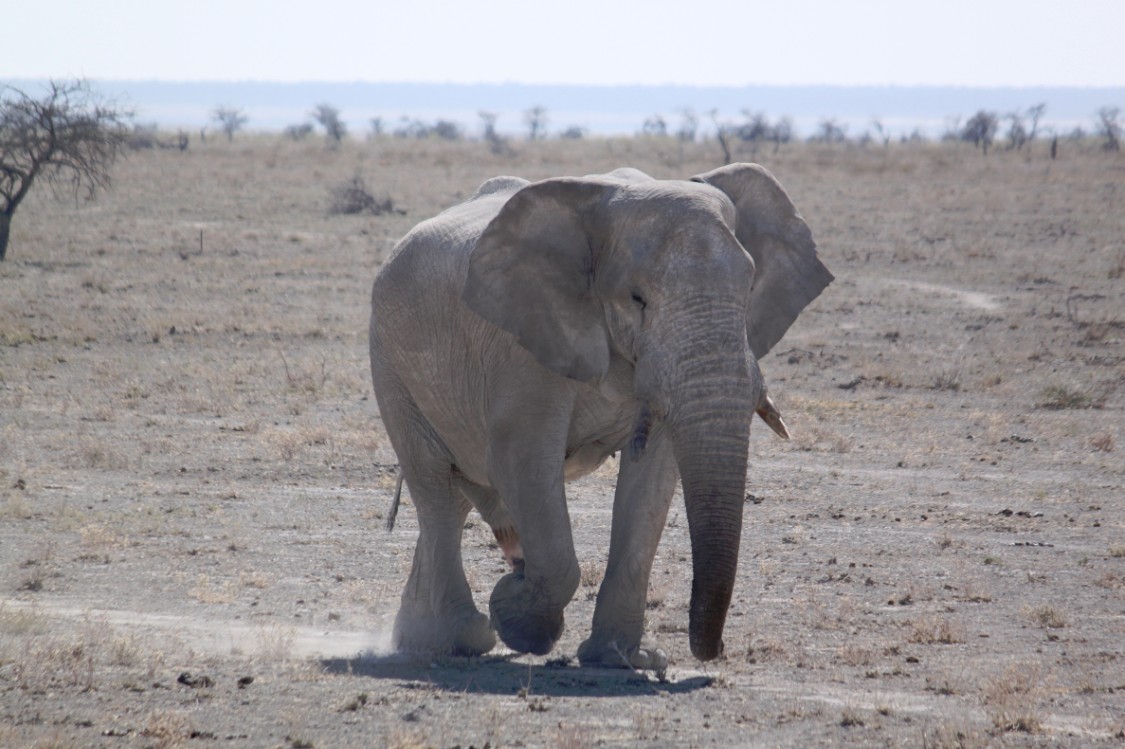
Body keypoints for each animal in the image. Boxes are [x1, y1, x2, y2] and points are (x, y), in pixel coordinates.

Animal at [364, 161, 832, 665]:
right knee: (433, 485)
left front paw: (621, 659)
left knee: (453, 495)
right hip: (389, 362)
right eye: (637, 298)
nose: (718, 648)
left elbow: (652, 479)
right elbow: (521, 462)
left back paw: (420, 637)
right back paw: (463, 637)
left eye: (748, 289)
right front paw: (518, 619)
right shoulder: (524, 344)